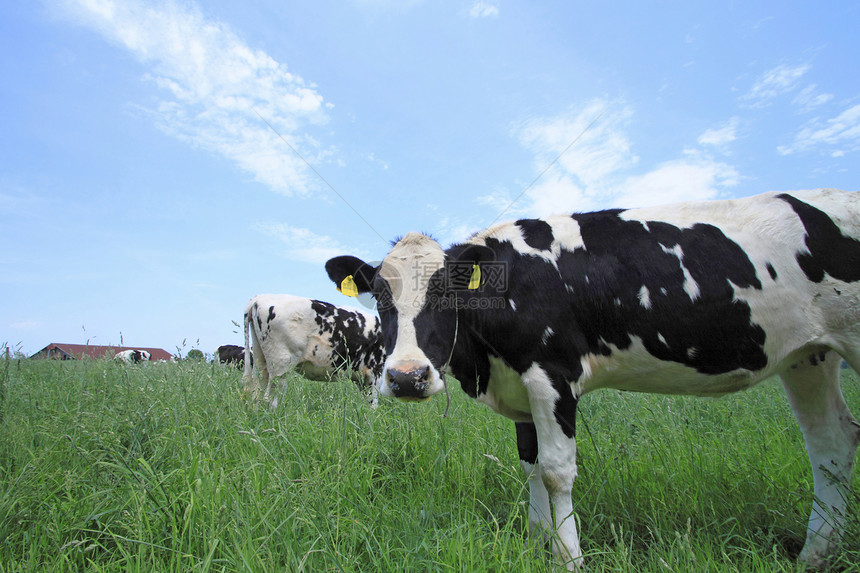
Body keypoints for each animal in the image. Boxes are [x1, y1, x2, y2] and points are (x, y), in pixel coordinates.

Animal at [244, 294, 388, 406]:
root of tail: (259, 298)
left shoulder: (363, 379)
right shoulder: (375, 372)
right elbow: (373, 405)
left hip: (260, 361)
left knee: (256, 396)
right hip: (280, 365)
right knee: (270, 400)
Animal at [324, 189, 860, 568]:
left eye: (448, 293)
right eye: (379, 296)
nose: (407, 378)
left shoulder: (553, 375)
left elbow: (557, 471)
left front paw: (568, 557)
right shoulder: (521, 390)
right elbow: (531, 467)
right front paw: (537, 545)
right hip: (808, 356)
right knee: (831, 443)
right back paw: (814, 556)